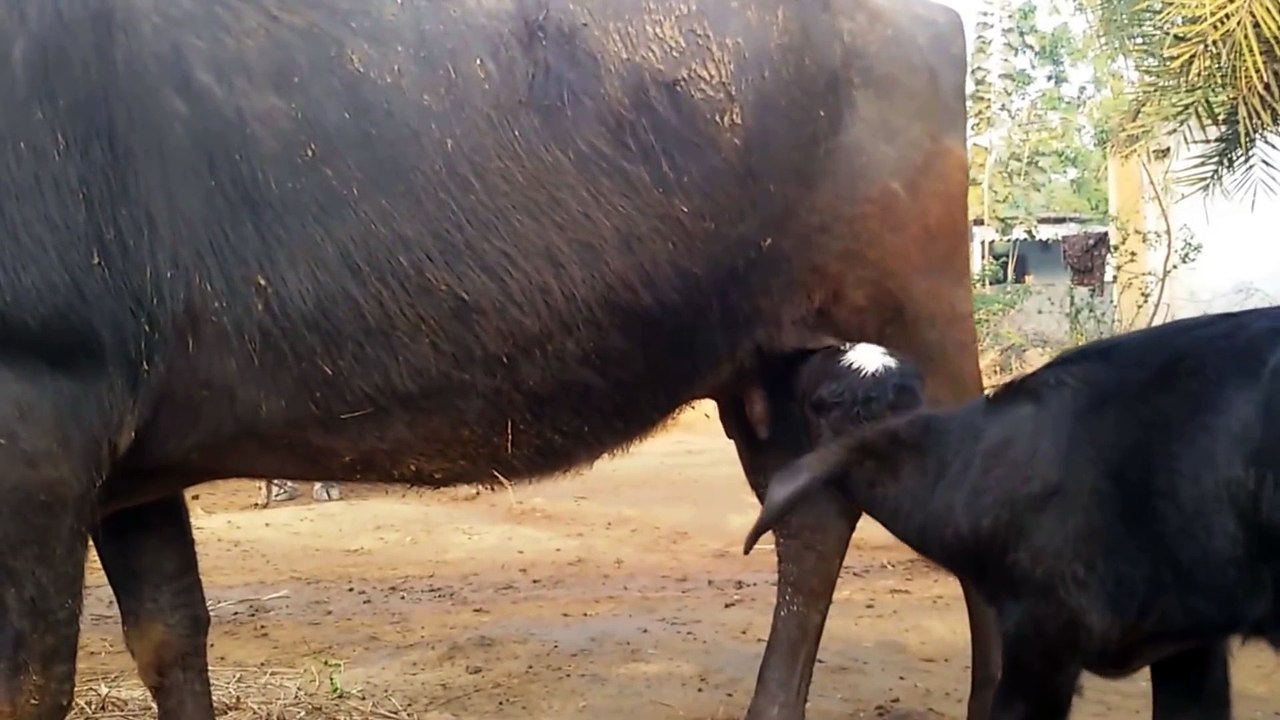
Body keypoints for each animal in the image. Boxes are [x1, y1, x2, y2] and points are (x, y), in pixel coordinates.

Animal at [0, 0, 997, 718]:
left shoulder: (39, 410)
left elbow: (34, 683)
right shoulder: (123, 460)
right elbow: (170, 635)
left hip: (925, 329)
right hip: (777, 373)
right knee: (812, 523)